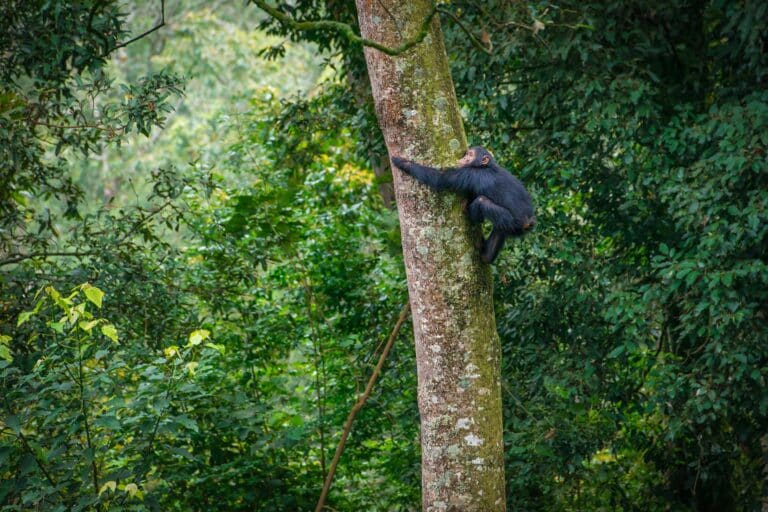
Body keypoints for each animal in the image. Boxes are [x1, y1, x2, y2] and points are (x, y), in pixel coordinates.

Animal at [391, 146, 535, 264]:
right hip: (509, 227)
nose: (464, 157)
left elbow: (441, 178)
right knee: (498, 234)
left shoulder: (468, 173)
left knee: (481, 201)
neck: (486, 166)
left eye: (470, 155)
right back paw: (486, 255)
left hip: (510, 221)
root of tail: (529, 222)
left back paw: (474, 218)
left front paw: (402, 162)